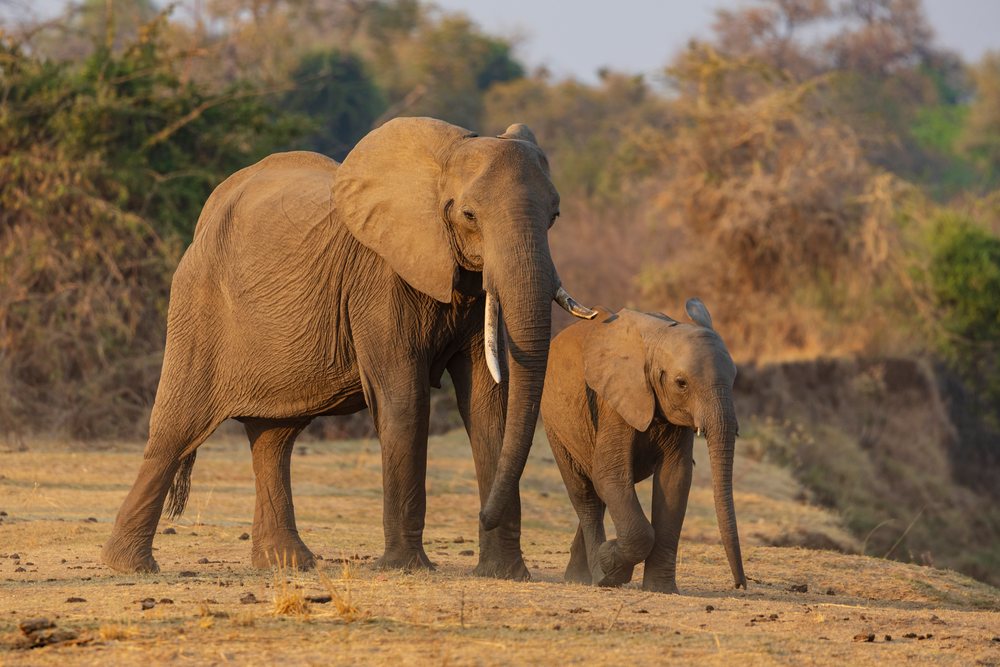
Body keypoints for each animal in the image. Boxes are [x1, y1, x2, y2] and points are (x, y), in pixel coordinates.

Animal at [101, 116, 595, 578]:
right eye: (469, 215)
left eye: (554, 216)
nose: (484, 514)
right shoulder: (377, 278)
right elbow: (404, 400)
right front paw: (404, 568)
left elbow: (488, 406)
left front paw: (503, 574)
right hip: (198, 305)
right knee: (175, 430)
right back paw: (129, 566)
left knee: (274, 438)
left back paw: (288, 564)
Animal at [540, 299, 746, 593]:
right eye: (681, 383)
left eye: (734, 380)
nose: (740, 585)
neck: (660, 337)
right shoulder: (613, 401)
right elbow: (611, 474)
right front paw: (609, 563)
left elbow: (675, 479)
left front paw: (660, 589)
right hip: (554, 423)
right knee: (585, 494)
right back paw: (596, 574)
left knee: (600, 495)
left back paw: (579, 576)